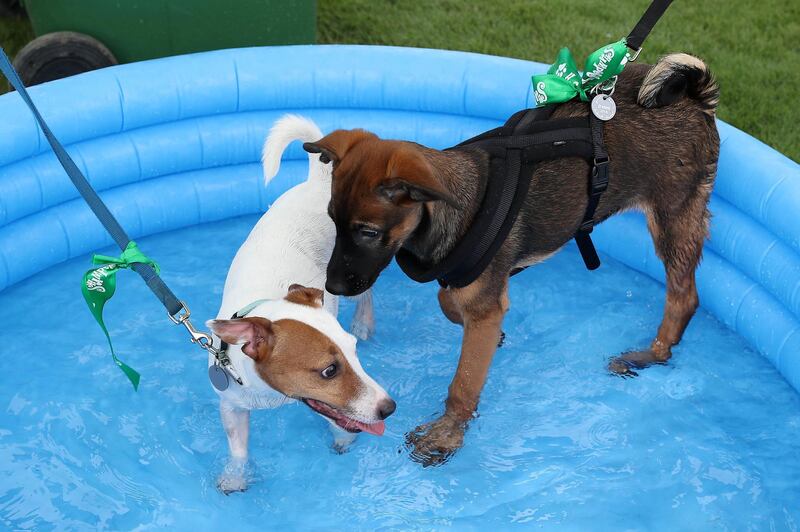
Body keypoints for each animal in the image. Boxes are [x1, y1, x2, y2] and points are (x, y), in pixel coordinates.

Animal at [206, 116, 394, 494]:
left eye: (354, 352)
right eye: (329, 371)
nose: (389, 408)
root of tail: (317, 181)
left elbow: (341, 423)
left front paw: (344, 441)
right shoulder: (231, 406)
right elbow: (238, 450)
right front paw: (235, 477)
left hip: (349, 268)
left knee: (365, 292)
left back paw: (364, 320)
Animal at [304, 52, 720, 464]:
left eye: (369, 233)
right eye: (332, 220)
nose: (331, 287)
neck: (449, 208)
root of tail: (694, 96)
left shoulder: (483, 305)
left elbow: (464, 380)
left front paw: (447, 434)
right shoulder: (480, 292)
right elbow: (450, 301)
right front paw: (485, 330)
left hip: (673, 214)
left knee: (684, 298)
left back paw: (649, 355)